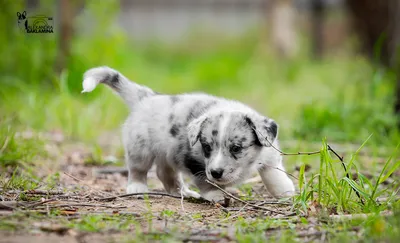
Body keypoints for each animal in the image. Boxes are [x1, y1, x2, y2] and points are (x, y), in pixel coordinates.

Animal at [82, 66, 294, 201]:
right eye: (206, 147)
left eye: (236, 148)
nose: (216, 172)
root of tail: (146, 98)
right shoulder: (194, 162)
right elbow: (205, 181)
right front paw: (216, 195)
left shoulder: (270, 155)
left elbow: (274, 175)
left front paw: (286, 192)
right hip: (140, 149)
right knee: (137, 170)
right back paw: (137, 188)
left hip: (167, 154)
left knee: (164, 173)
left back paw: (182, 192)